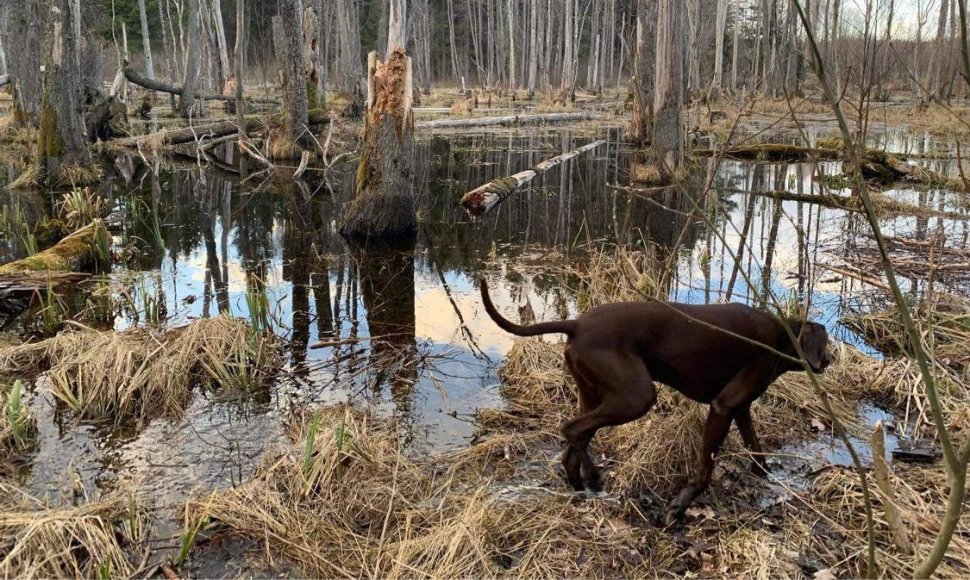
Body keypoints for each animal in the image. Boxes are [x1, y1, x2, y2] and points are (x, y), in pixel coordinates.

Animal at [480, 280, 828, 520]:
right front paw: (681, 505)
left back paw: (582, 485)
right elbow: (706, 468)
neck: (781, 337)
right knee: (572, 429)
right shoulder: (723, 407)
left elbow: (757, 452)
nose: (830, 360)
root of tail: (577, 323)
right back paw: (591, 478)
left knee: (574, 442)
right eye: (825, 344)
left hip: (596, 395)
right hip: (636, 396)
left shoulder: (740, 409)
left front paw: (769, 479)